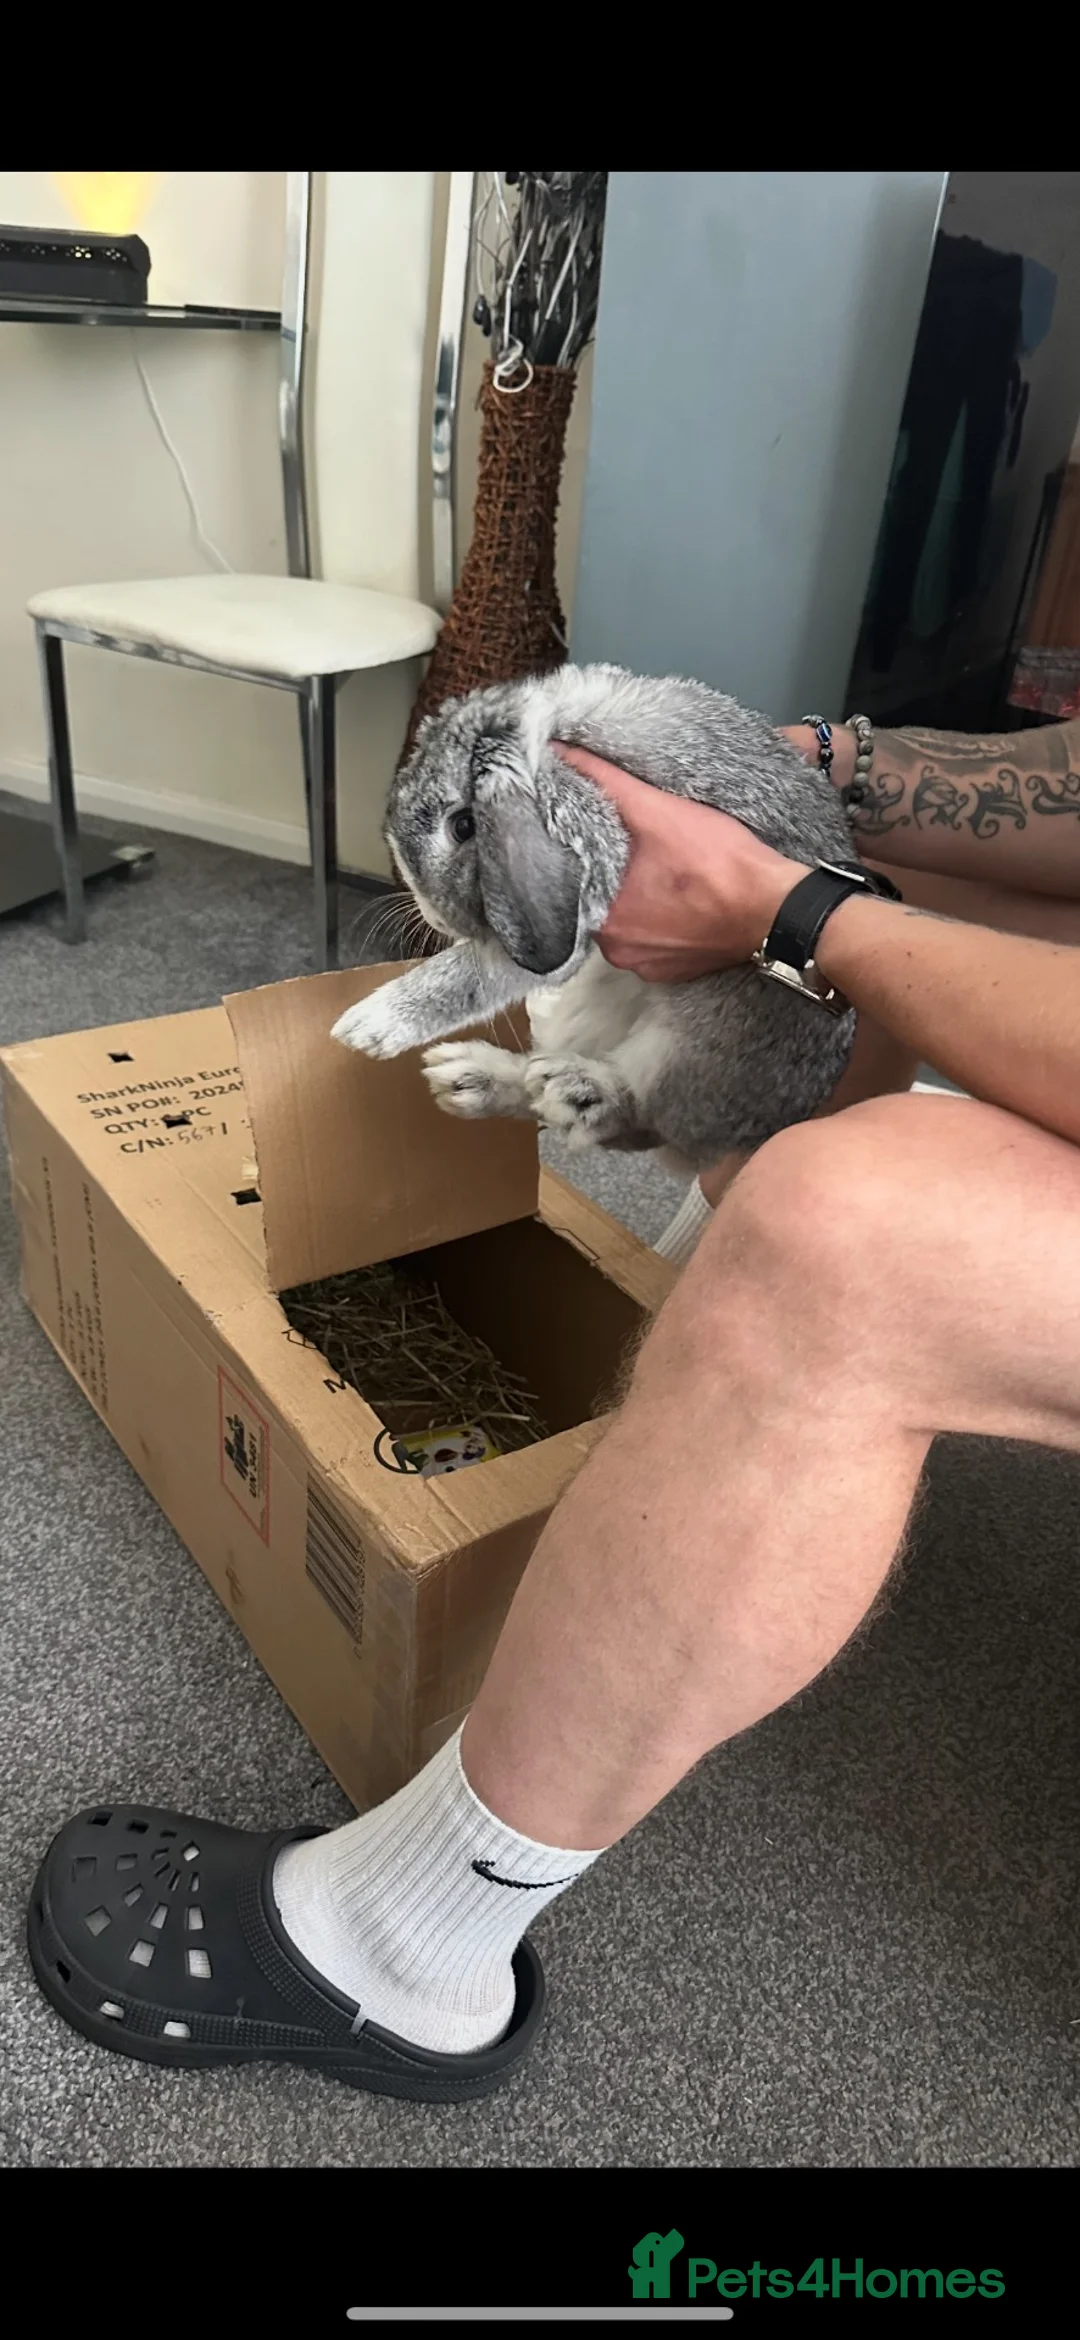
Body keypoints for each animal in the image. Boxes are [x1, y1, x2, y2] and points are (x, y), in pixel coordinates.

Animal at [330, 662, 859, 1171]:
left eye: (464, 825)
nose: (437, 921)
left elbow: (469, 976)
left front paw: (362, 1028)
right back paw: (468, 1080)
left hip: (679, 1051)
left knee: (636, 1119)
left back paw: (573, 1091)